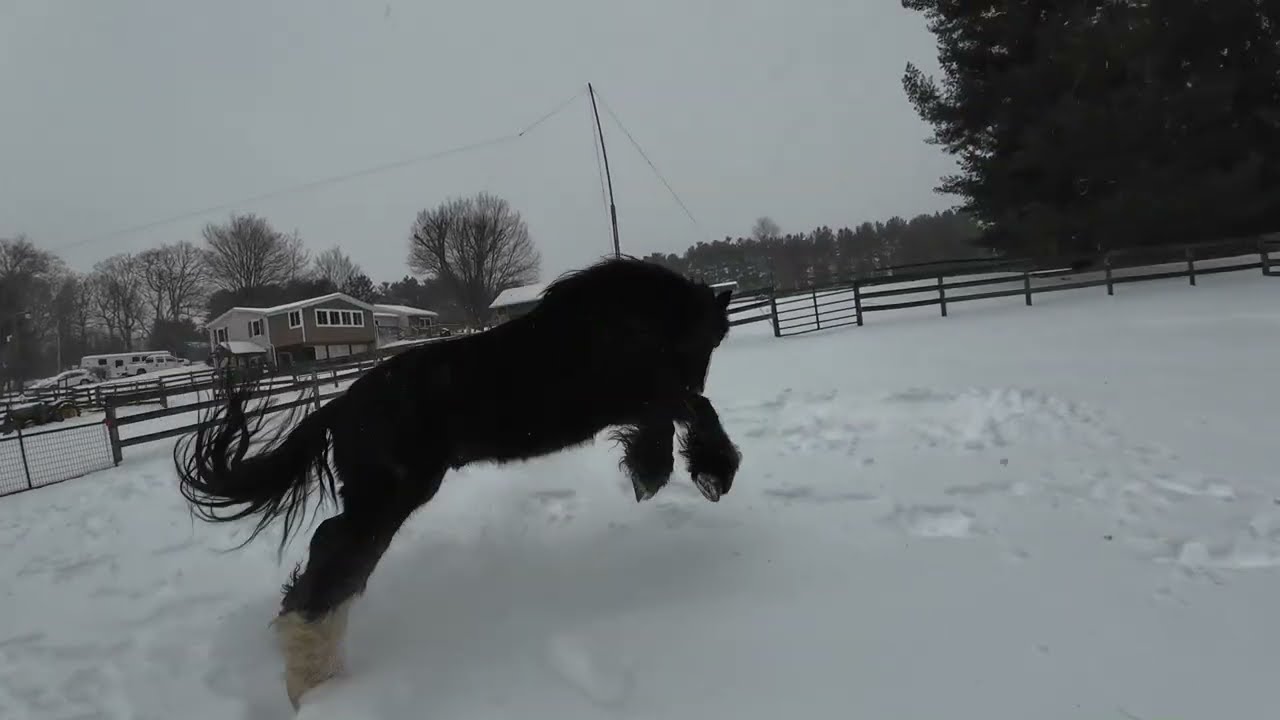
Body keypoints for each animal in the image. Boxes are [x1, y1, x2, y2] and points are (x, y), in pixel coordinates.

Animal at [172, 256, 743, 709]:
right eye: (708, 340)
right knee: (334, 555)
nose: (697, 370)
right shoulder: (642, 391)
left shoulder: (642, 400)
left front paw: (662, 473)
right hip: (391, 493)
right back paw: (313, 679)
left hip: (391, 494)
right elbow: (694, 409)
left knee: (333, 555)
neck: (624, 322)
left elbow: (675, 419)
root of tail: (339, 407)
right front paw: (703, 472)